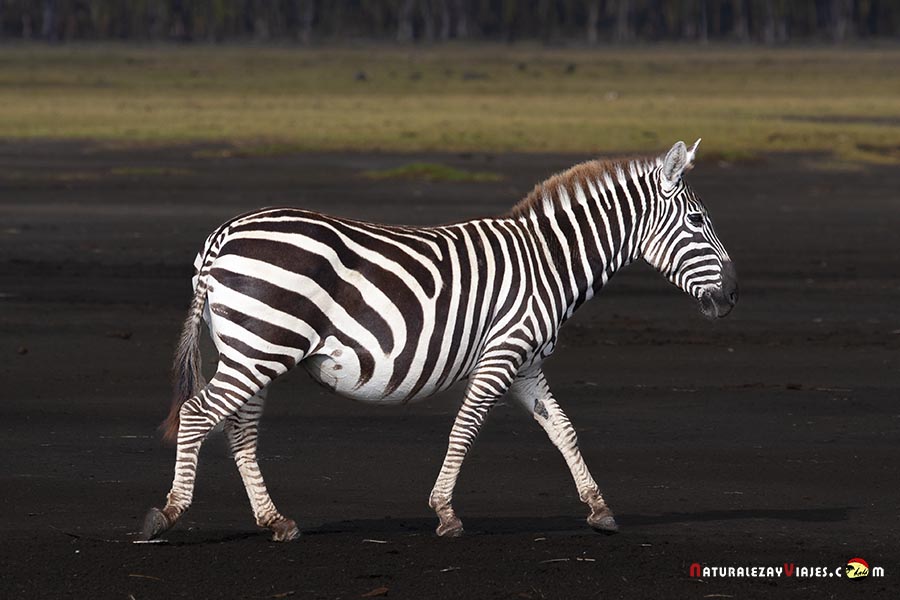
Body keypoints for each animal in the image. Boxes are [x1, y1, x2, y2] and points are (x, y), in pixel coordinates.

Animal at [141, 139, 738, 542]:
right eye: (698, 219)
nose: (732, 295)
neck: (548, 262)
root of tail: (222, 236)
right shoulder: (502, 354)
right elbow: (466, 429)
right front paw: (446, 512)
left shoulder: (526, 364)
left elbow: (563, 429)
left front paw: (599, 509)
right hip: (260, 347)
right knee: (198, 414)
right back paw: (168, 513)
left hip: (254, 347)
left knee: (238, 427)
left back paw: (275, 520)